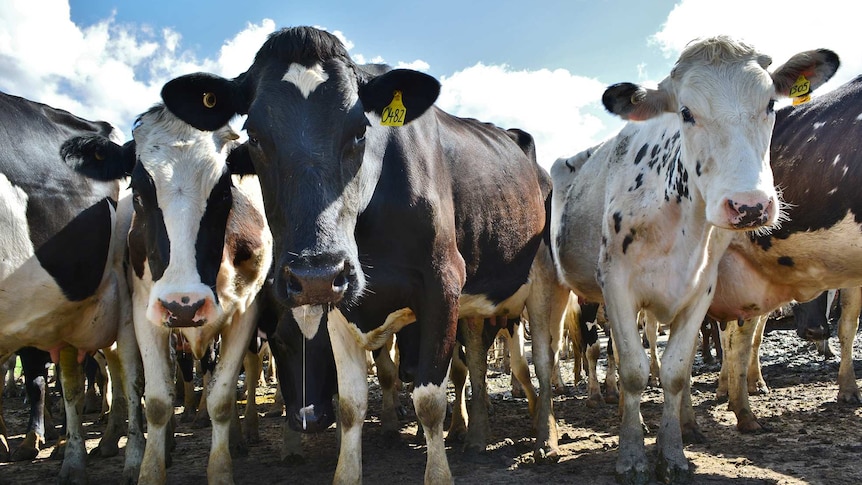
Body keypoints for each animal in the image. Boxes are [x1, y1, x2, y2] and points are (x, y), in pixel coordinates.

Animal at [0, 91, 145, 484]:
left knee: (129, 374)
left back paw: (133, 457)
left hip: (119, 301)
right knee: (77, 383)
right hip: (65, 313)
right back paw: (79, 453)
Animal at [63, 103, 274, 484]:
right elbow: (159, 401)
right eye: (139, 191)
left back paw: (241, 434)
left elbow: (221, 399)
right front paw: (150, 468)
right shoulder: (146, 311)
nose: (184, 305)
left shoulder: (246, 313)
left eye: (224, 191)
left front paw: (221, 470)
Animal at [159, 27, 572, 484]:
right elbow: (351, 404)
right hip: (475, 305)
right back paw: (477, 438)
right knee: (479, 365)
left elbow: (430, 399)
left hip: (545, 285)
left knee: (542, 361)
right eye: (255, 136)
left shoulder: (442, 283)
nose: (315, 272)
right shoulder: (342, 299)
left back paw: (546, 438)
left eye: (360, 130)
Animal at [552, 36, 840, 482]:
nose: (750, 206)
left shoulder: (700, 292)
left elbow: (674, 372)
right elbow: (634, 370)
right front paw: (631, 457)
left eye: (770, 104)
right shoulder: (616, 285)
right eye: (686, 112)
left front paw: (672, 454)